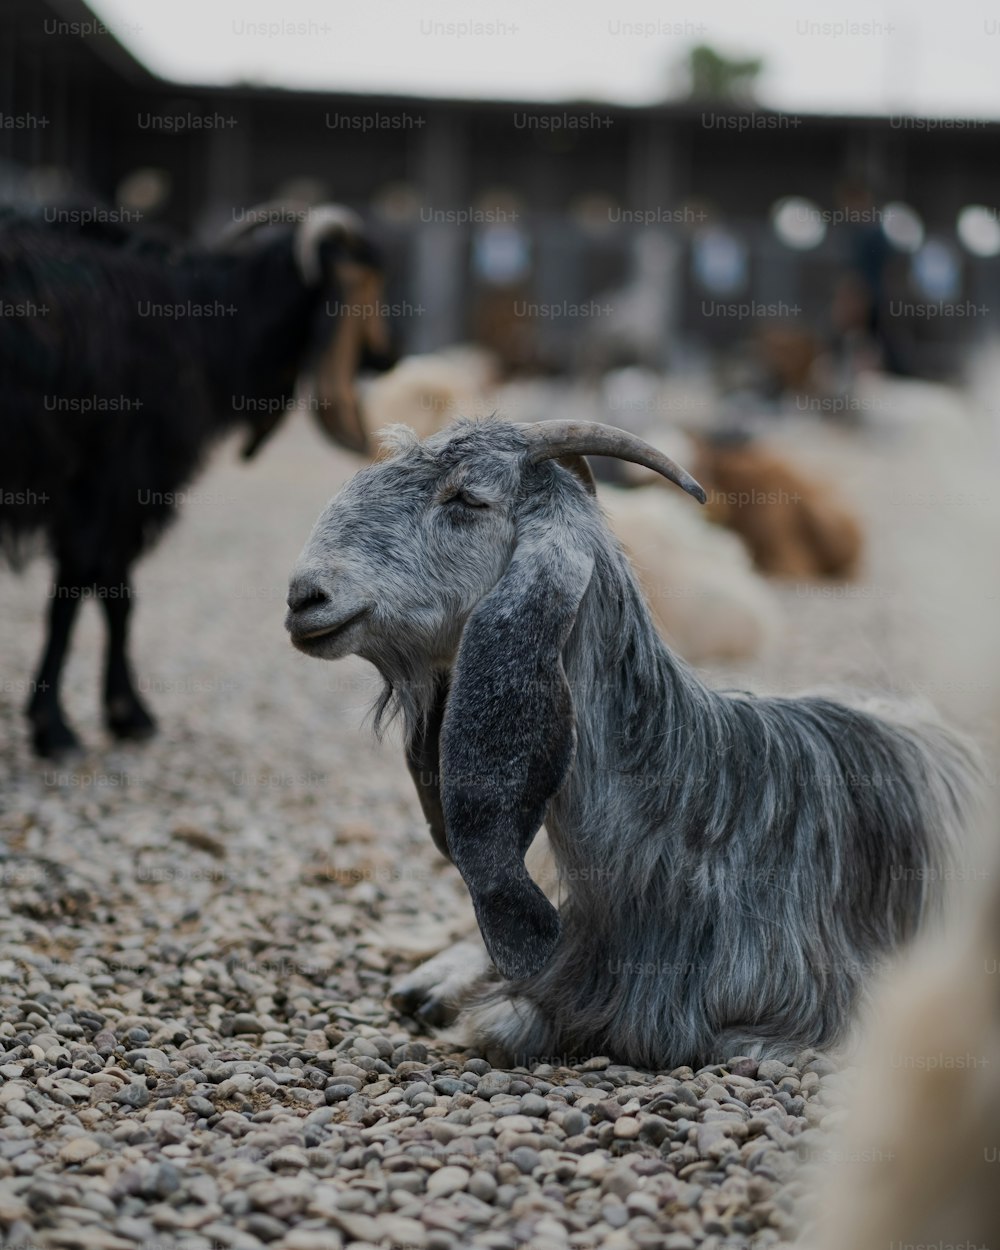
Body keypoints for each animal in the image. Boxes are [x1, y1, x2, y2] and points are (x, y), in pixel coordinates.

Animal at [1, 205, 397, 755]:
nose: (389, 355)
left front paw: (123, 713)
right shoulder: (112, 478)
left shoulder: (119, 490)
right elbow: (86, 590)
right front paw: (58, 727)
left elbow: (112, 591)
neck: (200, 325)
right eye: (367, 280)